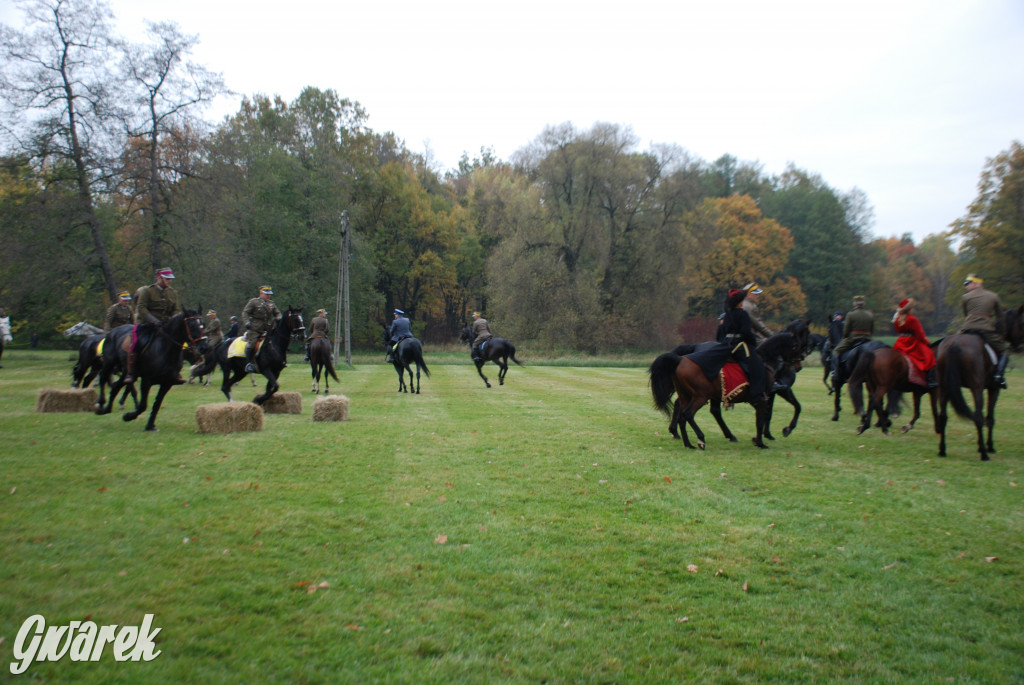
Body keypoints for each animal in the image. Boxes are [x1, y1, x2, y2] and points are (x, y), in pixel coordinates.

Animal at [651, 331, 811, 448]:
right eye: (796, 346)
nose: (799, 365)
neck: (766, 361)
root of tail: (681, 359)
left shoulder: (766, 396)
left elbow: (766, 415)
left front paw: (763, 437)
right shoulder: (766, 395)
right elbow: (763, 417)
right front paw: (763, 440)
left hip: (690, 395)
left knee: (684, 412)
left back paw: (687, 441)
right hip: (701, 396)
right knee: (689, 413)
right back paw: (702, 437)